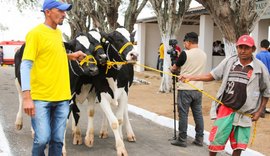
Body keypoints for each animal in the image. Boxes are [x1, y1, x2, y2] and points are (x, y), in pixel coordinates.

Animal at [70, 27, 137, 156]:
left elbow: (119, 119)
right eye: (117, 39)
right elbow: (113, 121)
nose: (134, 55)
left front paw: (120, 141)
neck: (114, 74)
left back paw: (128, 134)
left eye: (132, 39)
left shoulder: (124, 92)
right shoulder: (100, 94)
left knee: (125, 112)